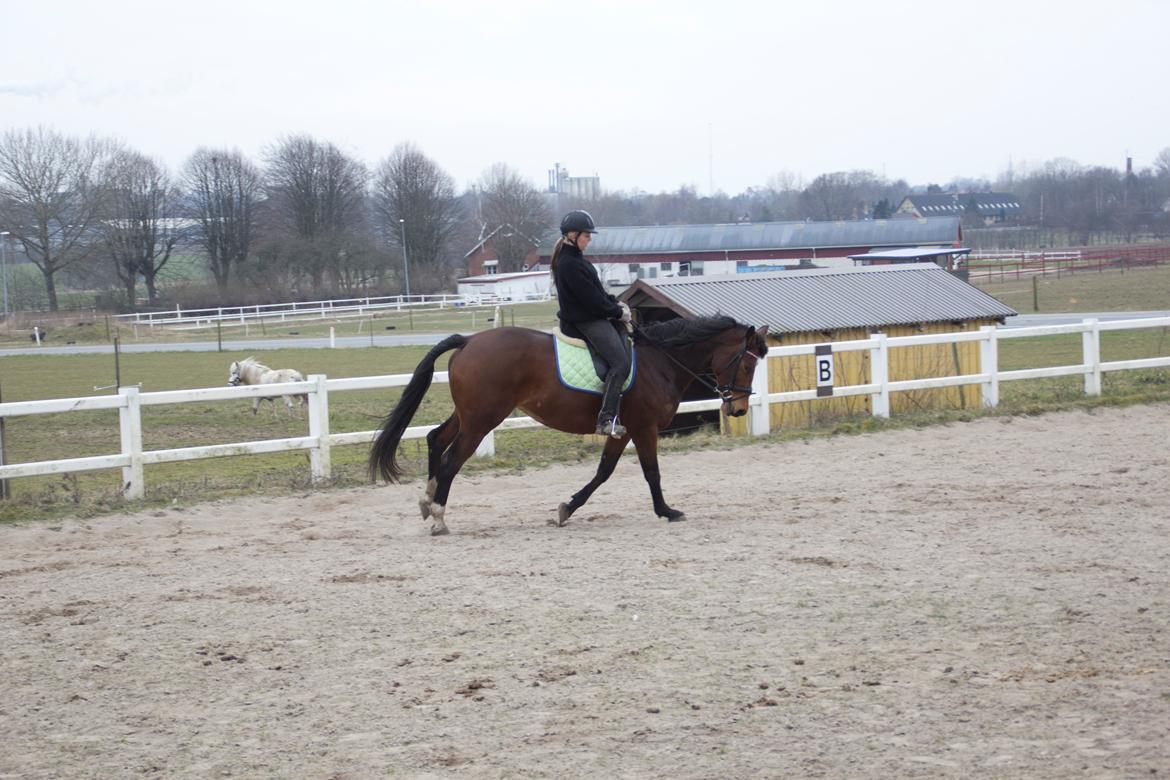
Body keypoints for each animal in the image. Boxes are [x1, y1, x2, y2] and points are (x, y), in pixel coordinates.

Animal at [367, 313, 767, 533]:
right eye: (747, 363)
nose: (738, 409)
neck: (662, 361)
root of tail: (467, 341)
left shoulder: (621, 430)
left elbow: (604, 472)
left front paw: (567, 509)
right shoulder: (643, 427)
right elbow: (651, 472)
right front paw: (667, 511)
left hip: (470, 415)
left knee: (436, 438)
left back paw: (427, 501)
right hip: (482, 420)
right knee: (452, 460)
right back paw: (438, 517)